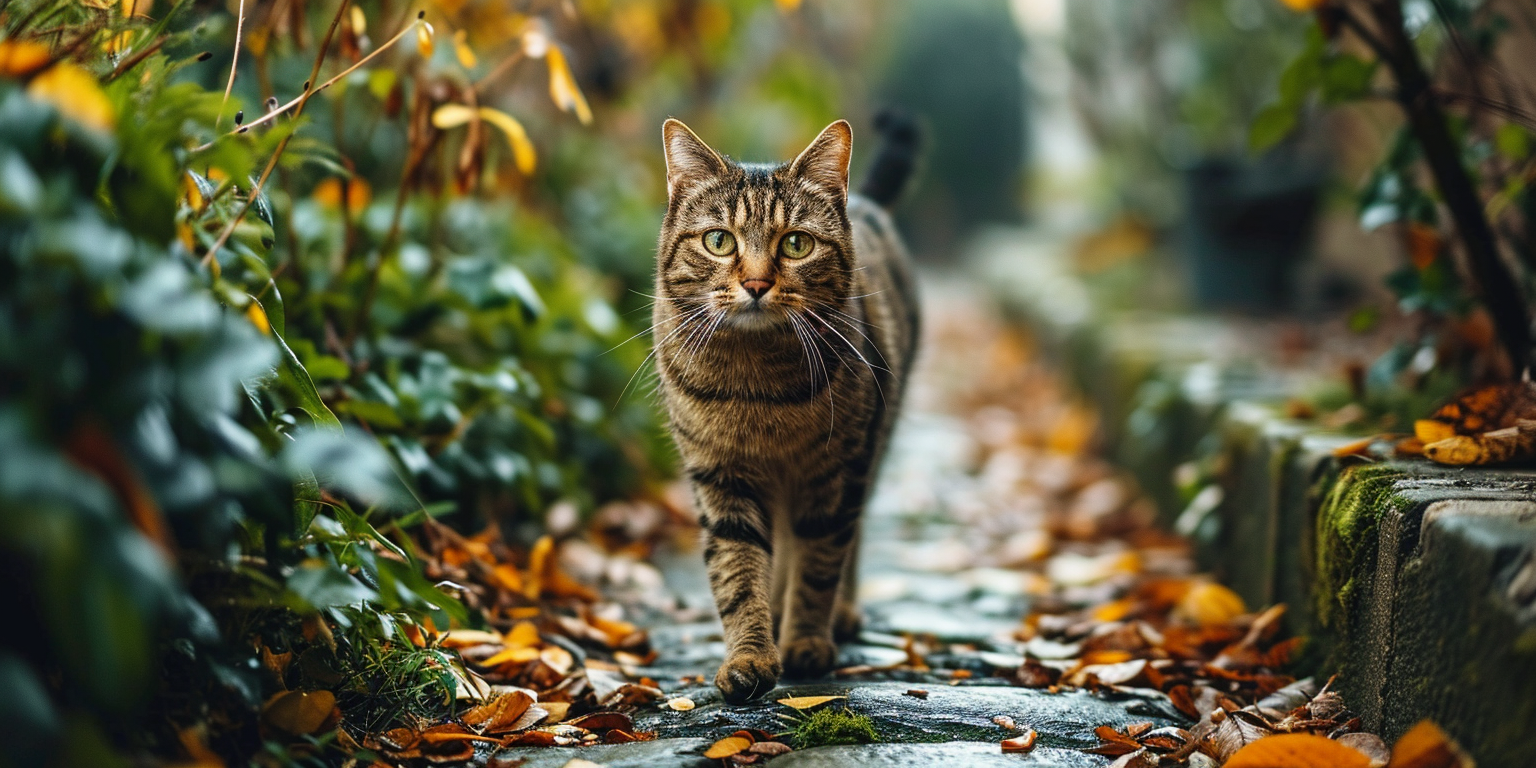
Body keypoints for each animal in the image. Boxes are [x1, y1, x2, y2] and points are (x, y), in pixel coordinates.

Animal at [651, 112, 915, 703]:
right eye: (719, 241)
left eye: (796, 244)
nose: (755, 283)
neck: (758, 388)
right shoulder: (720, 476)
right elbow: (738, 570)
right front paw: (749, 655)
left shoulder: (835, 475)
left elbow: (819, 563)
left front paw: (806, 643)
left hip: (872, 448)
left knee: (843, 541)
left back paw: (837, 615)